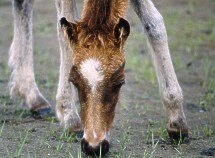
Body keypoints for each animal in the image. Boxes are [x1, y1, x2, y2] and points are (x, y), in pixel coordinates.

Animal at [9, 0, 188, 156]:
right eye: (73, 80)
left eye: (120, 82)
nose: (93, 146)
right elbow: (63, 31)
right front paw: (70, 118)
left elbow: (154, 24)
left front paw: (177, 123)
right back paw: (33, 95)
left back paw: (31, 96)